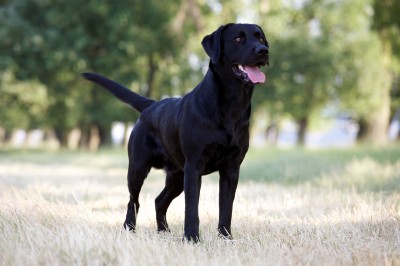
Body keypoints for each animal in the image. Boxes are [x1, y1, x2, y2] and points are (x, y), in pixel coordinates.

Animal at [82, 23, 268, 243]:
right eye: (238, 39)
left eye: (261, 38)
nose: (263, 51)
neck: (231, 105)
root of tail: (151, 105)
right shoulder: (194, 166)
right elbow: (192, 208)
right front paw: (192, 238)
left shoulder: (231, 168)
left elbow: (226, 208)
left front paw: (226, 237)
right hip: (138, 168)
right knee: (133, 201)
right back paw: (129, 229)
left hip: (176, 175)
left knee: (159, 200)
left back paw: (163, 230)